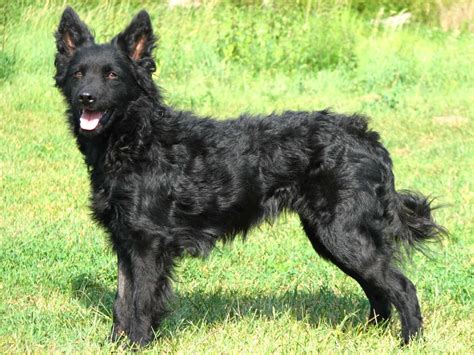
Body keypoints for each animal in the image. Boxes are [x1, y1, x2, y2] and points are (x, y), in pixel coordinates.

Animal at [53, 7, 446, 348]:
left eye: (112, 75)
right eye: (78, 74)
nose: (86, 98)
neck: (137, 140)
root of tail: (367, 137)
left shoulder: (148, 243)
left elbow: (140, 302)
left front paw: (136, 344)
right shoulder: (124, 240)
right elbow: (122, 300)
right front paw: (115, 344)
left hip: (343, 235)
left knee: (402, 287)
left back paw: (410, 341)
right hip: (334, 238)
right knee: (378, 288)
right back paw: (369, 334)